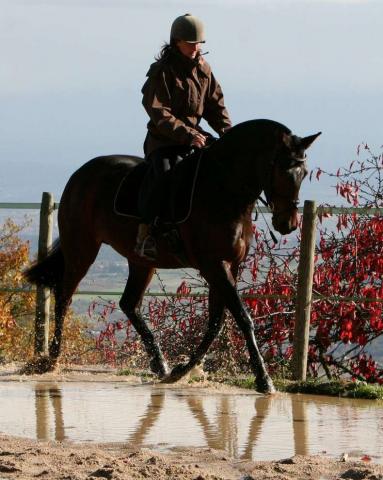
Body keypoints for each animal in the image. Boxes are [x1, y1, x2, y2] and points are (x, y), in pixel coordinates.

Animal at [24, 120, 320, 394]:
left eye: (304, 173)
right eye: (282, 171)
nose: (288, 224)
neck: (224, 189)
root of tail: (80, 174)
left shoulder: (230, 266)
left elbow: (216, 321)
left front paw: (182, 370)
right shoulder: (214, 265)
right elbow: (241, 317)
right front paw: (263, 379)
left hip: (141, 261)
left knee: (128, 303)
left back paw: (160, 364)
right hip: (82, 249)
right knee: (64, 297)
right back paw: (51, 359)